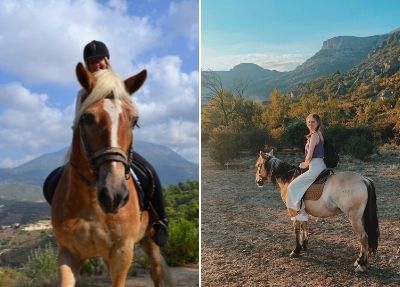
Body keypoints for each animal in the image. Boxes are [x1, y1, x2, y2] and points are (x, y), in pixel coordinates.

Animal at [51, 63, 173, 287]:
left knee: (157, 270)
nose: (114, 195)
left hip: (150, 238)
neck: (91, 202)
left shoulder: (122, 253)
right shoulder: (68, 252)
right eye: (87, 118)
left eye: (134, 121)